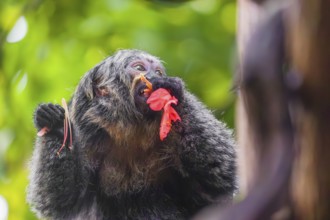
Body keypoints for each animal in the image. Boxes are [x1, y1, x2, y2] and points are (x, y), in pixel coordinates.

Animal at [27, 49, 236, 219]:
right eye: (139, 68)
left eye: (158, 72)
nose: (152, 75)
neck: (131, 130)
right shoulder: (85, 133)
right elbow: (60, 200)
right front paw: (57, 127)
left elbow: (217, 180)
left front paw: (174, 93)